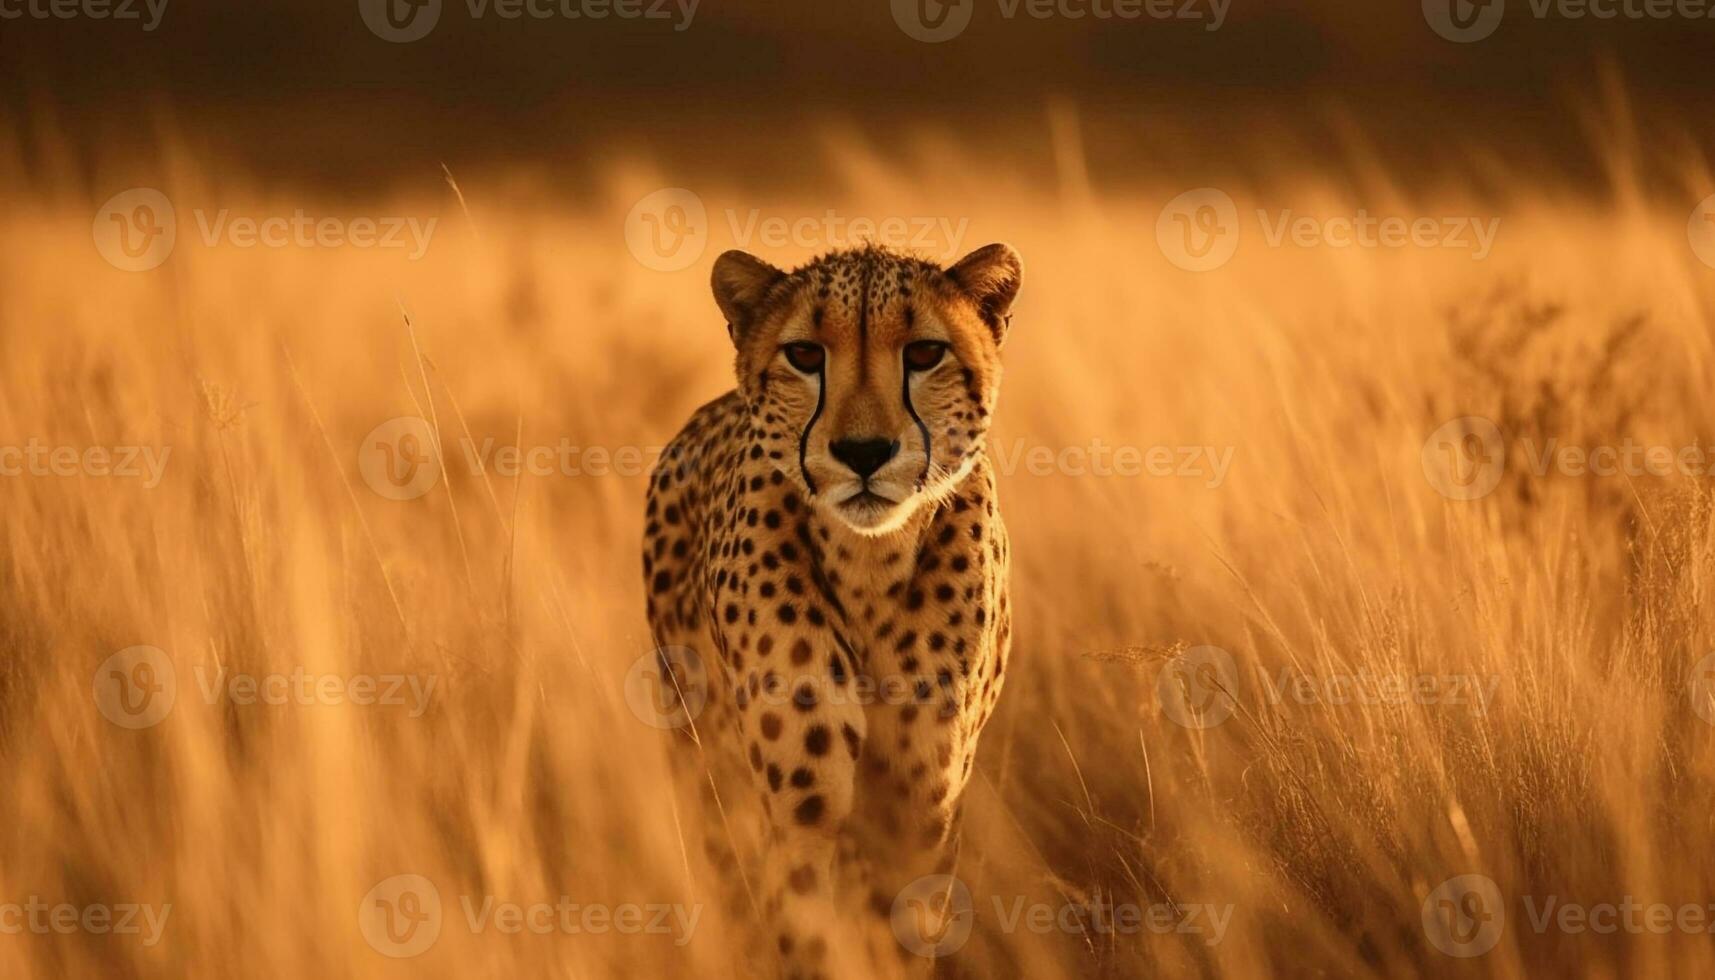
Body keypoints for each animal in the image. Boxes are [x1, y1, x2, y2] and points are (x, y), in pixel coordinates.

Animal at [644, 240, 1015, 974]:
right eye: (804, 355)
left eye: (924, 353)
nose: (864, 451)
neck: (869, 559)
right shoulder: (803, 812)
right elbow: (808, 927)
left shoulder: (919, 814)